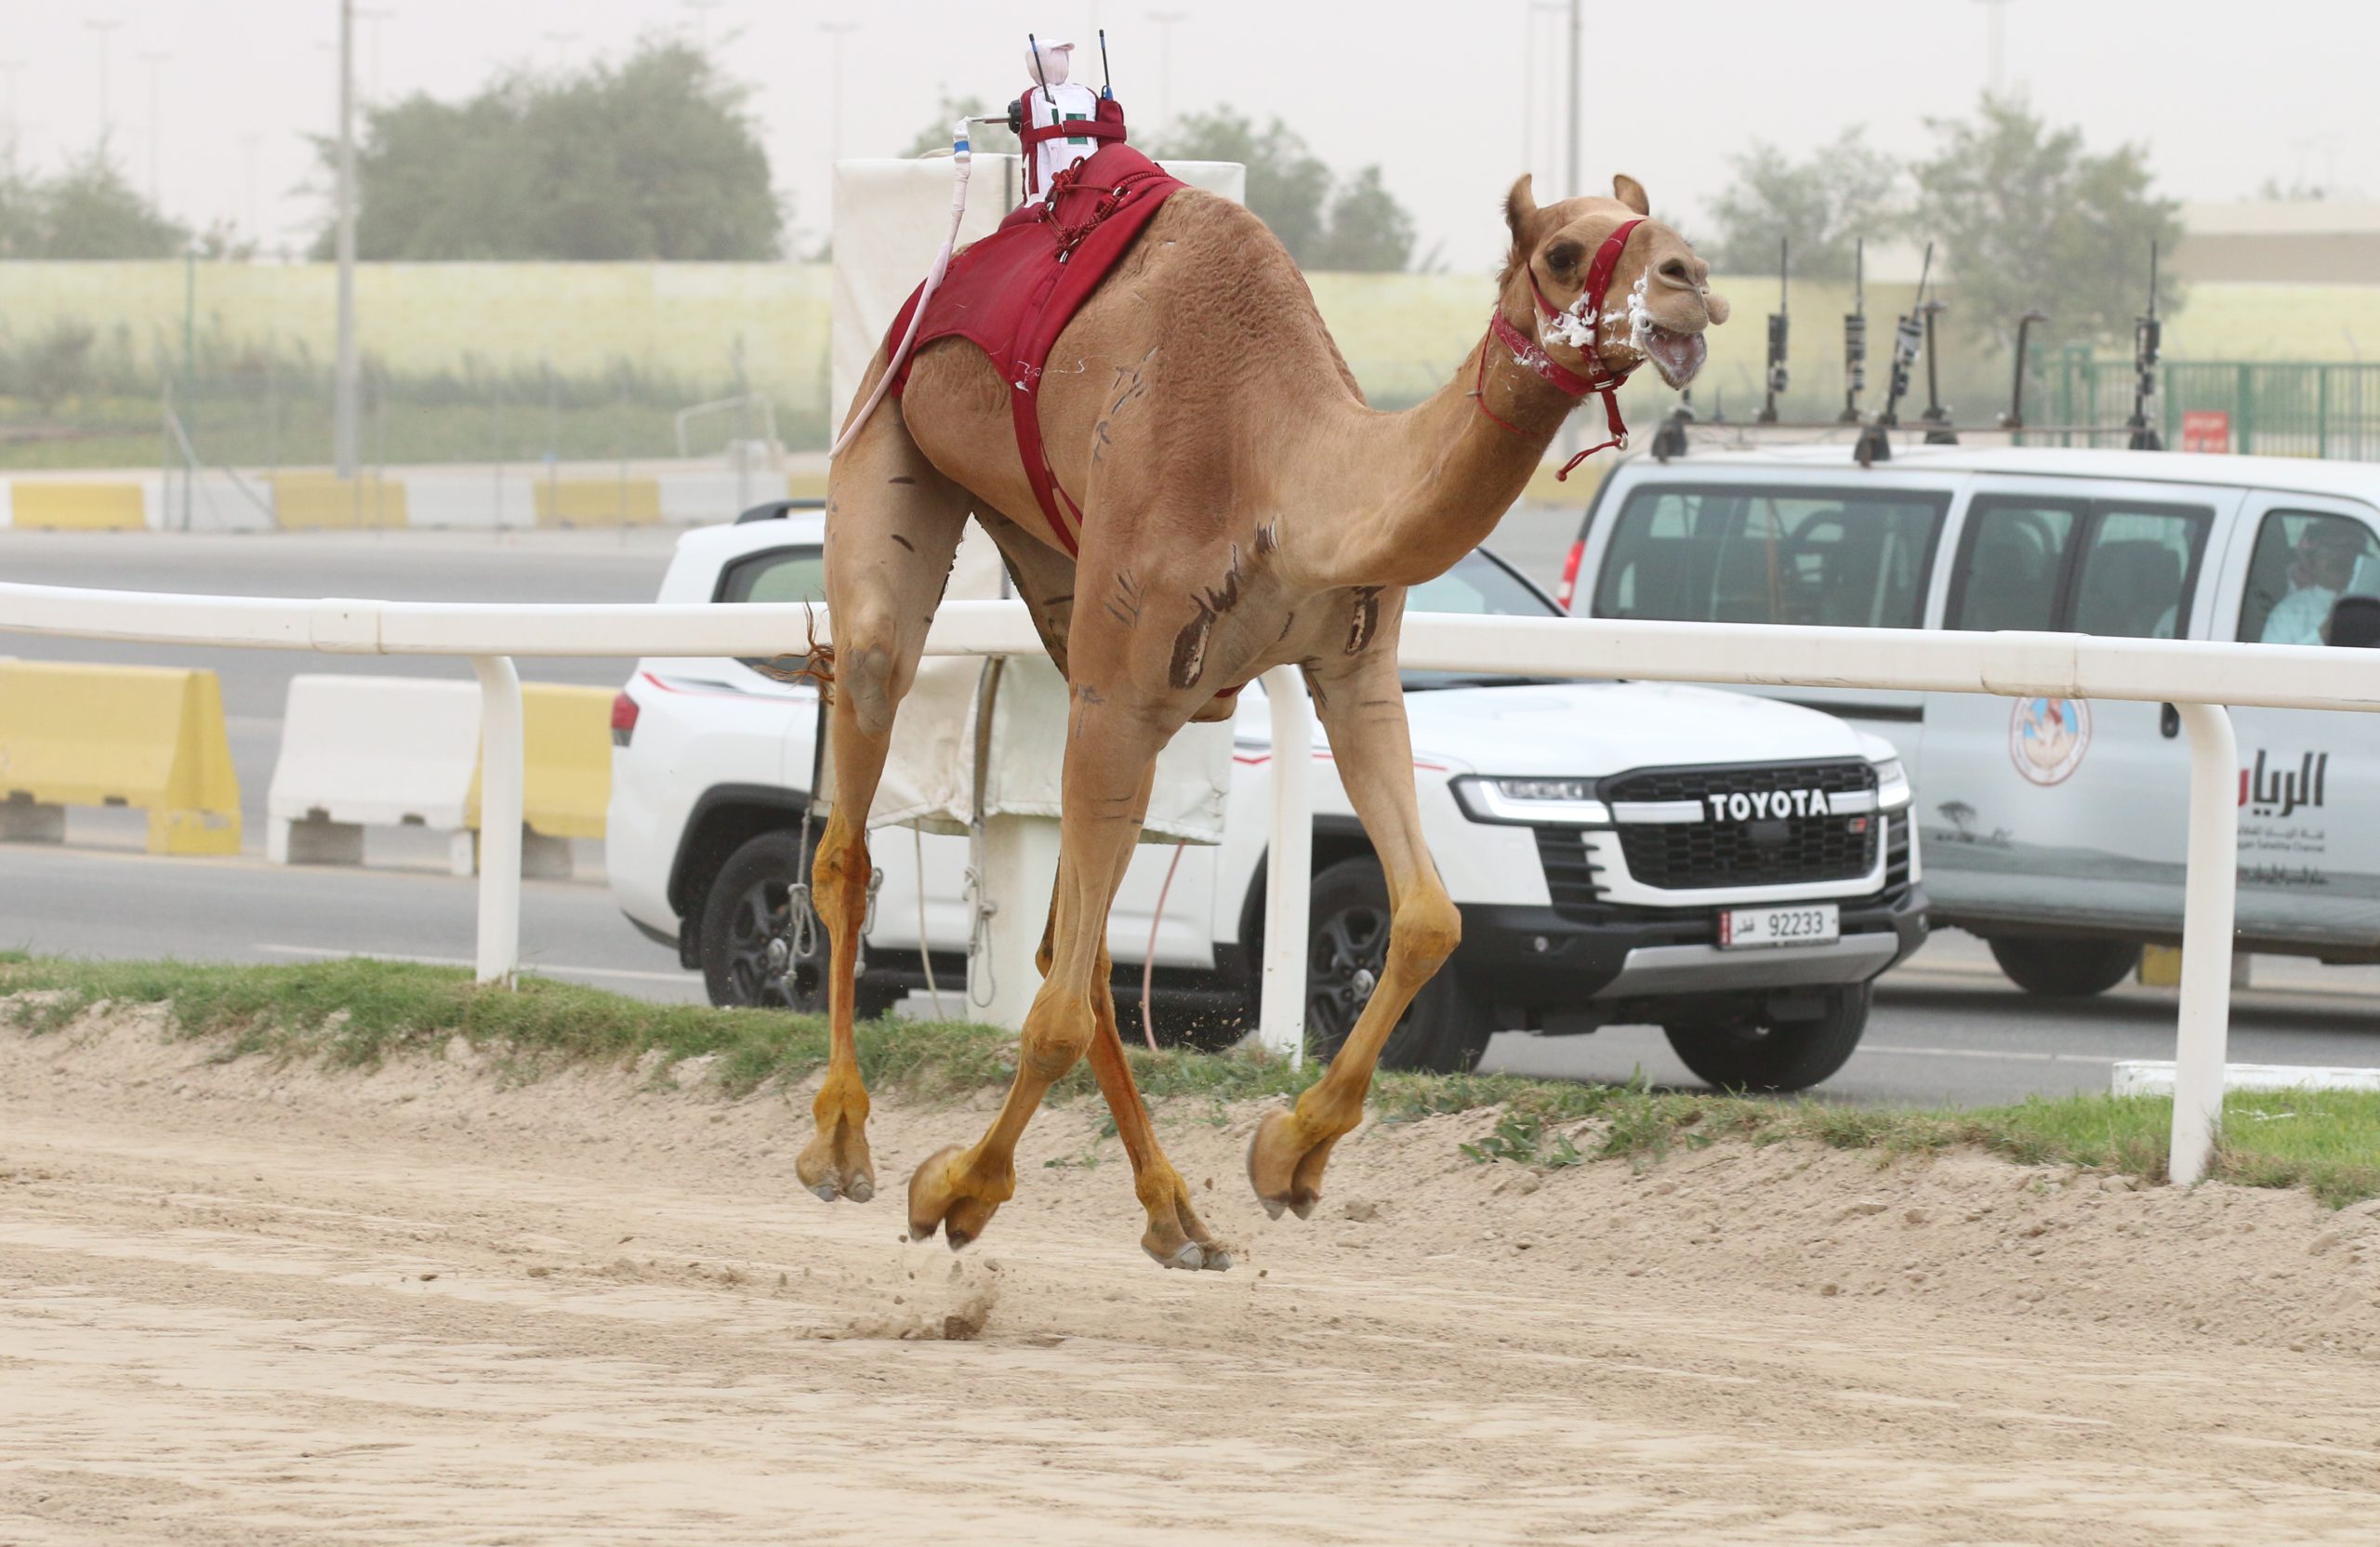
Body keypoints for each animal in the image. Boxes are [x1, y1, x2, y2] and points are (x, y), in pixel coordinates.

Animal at [809, 163, 1723, 1256]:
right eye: (1562, 252)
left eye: (1661, 226)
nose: (1691, 284)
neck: (1278, 473)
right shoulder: (1121, 693)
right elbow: (1055, 1012)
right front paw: (956, 1190)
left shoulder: (1355, 672)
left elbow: (1429, 917)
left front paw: (1289, 1155)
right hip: (888, 436)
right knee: (858, 794)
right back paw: (840, 1143)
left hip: (1056, 576)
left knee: (1071, 949)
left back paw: (1175, 1211)